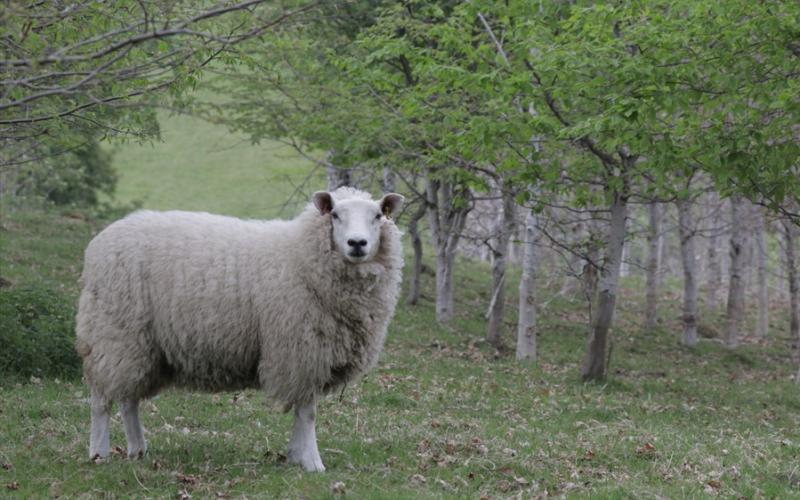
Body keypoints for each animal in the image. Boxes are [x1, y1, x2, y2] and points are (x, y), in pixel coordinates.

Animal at [75, 188, 404, 472]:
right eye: (335, 215)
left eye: (378, 215)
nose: (357, 243)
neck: (301, 255)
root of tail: (98, 245)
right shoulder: (301, 350)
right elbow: (308, 412)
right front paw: (312, 462)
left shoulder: (310, 353)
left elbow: (303, 412)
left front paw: (296, 455)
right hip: (112, 331)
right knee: (101, 400)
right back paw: (99, 453)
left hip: (137, 344)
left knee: (128, 398)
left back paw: (137, 449)